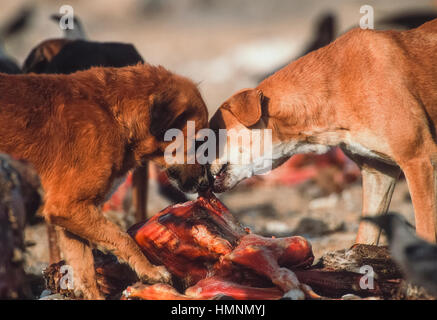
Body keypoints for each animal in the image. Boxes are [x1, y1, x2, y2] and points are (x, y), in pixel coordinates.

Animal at [0, 63, 209, 298]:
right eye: (199, 142)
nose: (205, 184)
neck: (114, 115)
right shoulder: (68, 207)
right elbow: (122, 237)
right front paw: (150, 270)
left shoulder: (70, 219)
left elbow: (86, 272)